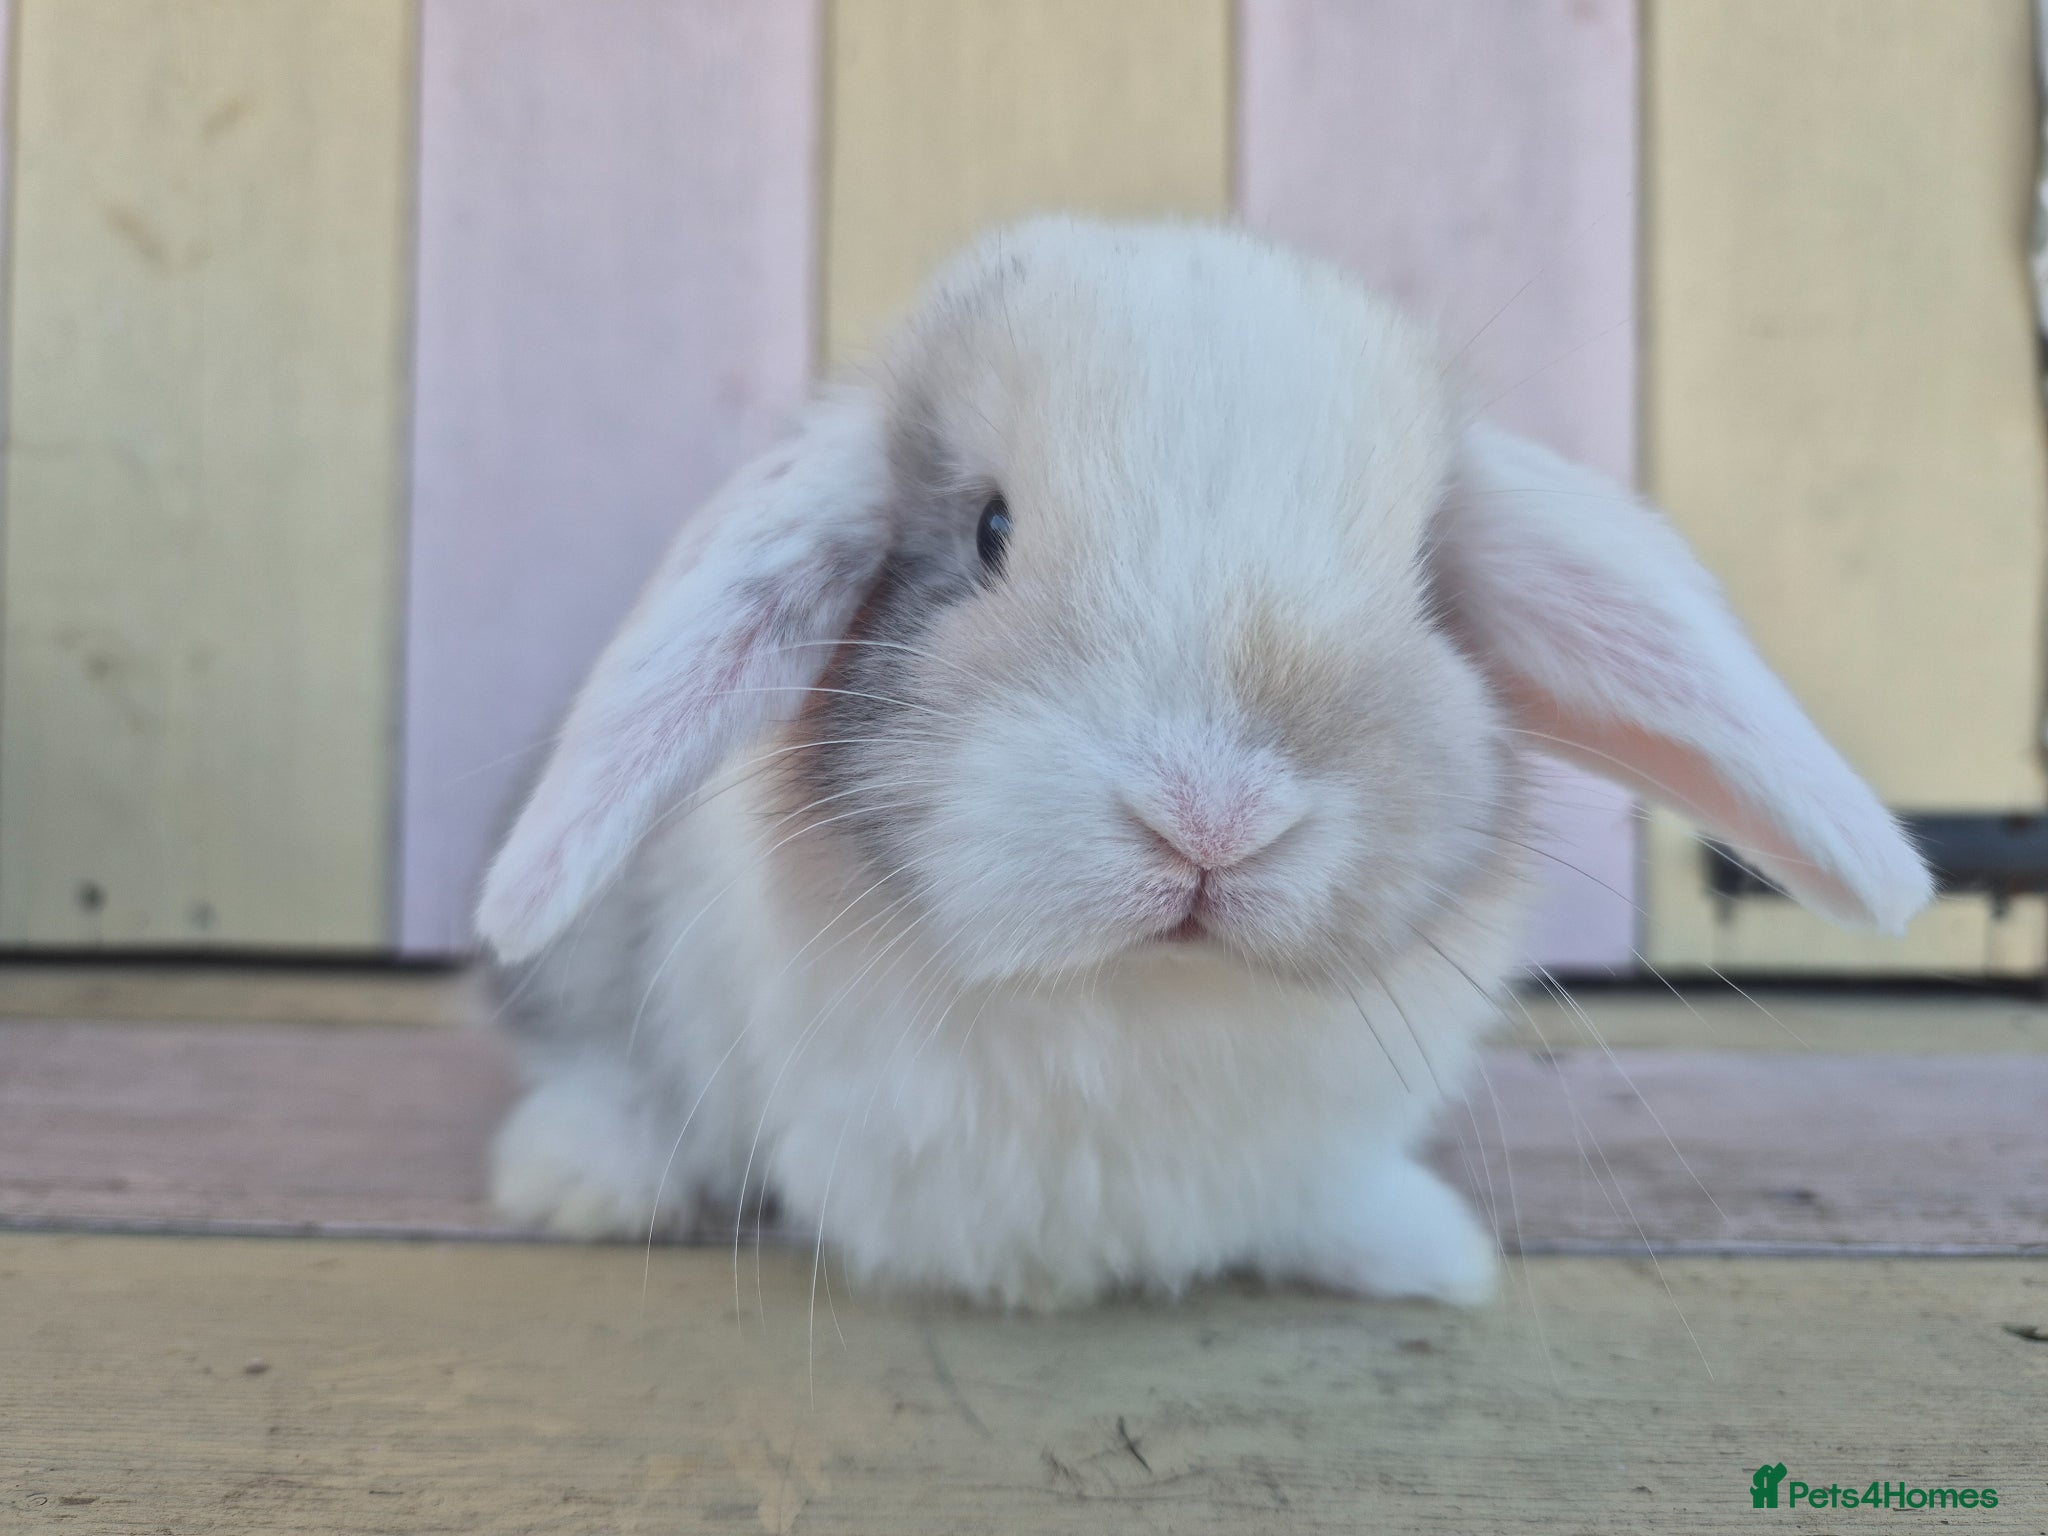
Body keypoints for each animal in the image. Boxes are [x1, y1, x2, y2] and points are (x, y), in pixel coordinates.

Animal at [475, 217, 1931, 1309]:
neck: (1138, 1001)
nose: (1212, 818)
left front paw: (1426, 1252)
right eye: (989, 532)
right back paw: (582, 1176)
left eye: (1422, 583)